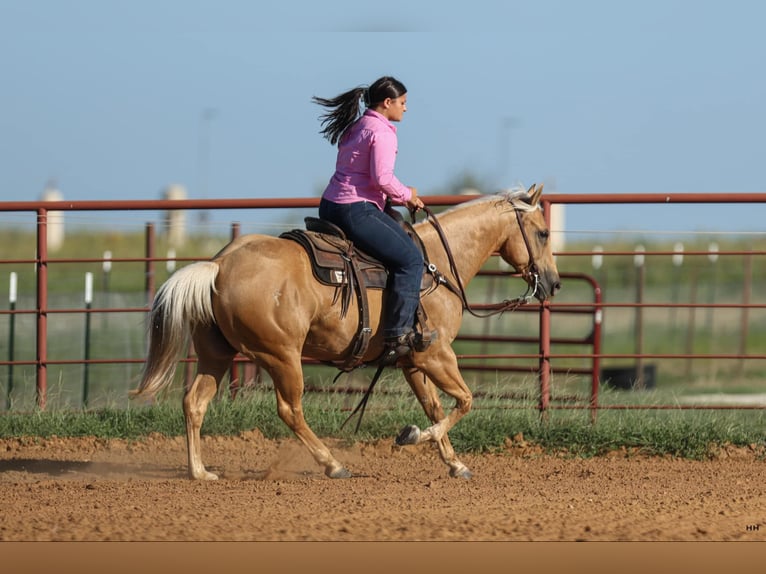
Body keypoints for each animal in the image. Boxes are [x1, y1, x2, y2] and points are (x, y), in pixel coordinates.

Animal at [132, 184, 561, 480]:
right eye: (542, 233)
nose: (554, 283)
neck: (436, 265)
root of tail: (220, 265)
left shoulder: (413, 361)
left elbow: (437, 406)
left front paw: (454, 464)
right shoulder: (436, 355)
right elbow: (465, 401)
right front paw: (411, 436)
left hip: (216, 354)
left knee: (194, 402)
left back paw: (199, 471)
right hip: (282, 356)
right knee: (290, 410)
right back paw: (333, 464)